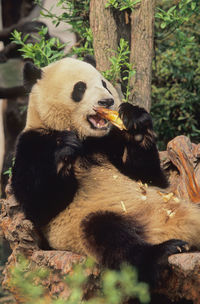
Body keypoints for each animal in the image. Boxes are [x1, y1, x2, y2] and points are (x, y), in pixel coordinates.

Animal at [11, 56, 200, 284]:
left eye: (103, 83)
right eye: (80, 88)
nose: (107, 102)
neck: (88, 141)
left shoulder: (111, 141)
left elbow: (152, 179)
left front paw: (136, 123)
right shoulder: (32, 143)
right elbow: (37, 205)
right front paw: (64, 148)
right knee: (107, 235)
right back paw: (164, 252)